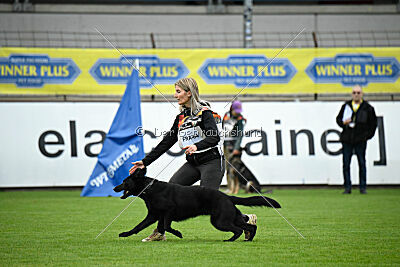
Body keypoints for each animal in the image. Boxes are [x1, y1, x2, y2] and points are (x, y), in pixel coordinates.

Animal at [112, 170, 282, 243]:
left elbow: (166, 226)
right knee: (250, 226)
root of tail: (227, 196)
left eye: (125, 182)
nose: (114, 188)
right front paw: (125, 234)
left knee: (239, 230)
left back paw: (230, 240)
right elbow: (139, 226)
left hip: (220, 221)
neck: (150, 189)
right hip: (230, 218)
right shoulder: (154, 215)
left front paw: (178, 233)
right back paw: (248, 239)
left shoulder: (169, 210)